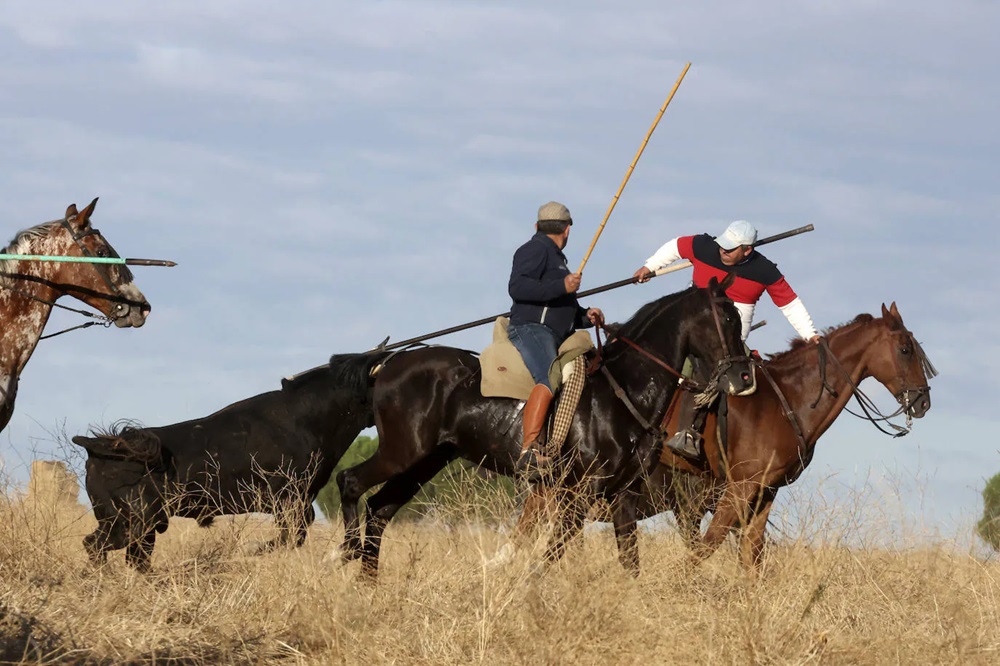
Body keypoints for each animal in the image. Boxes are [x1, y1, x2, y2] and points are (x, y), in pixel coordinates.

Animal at [71, 352, 386, 572]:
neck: (306, 416)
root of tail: (99, 448)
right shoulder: (291, 502)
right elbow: (290, 537)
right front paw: (251, 550)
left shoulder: (299, 503)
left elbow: (292, 537)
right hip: (131, 524)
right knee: (96, 546)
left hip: (144, 527)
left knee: (129, 557)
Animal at [332, 274, 752, 576]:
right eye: (728, 318)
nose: (744, 377)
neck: (623, 390)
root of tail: (388, 364)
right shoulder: (580, 492)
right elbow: (550, 556)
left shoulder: (624, 495)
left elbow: (629, 562)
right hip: (402, 452)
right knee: (349, 482)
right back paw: (346, 551)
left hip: (424, 462)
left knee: (380, 511)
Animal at [512, 300, 932, 564]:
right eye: (905, 348)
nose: (923, 401)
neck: (785, 399)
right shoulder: (736, 492)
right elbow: (705, 551)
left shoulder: (762, 496)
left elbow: (752, 559)